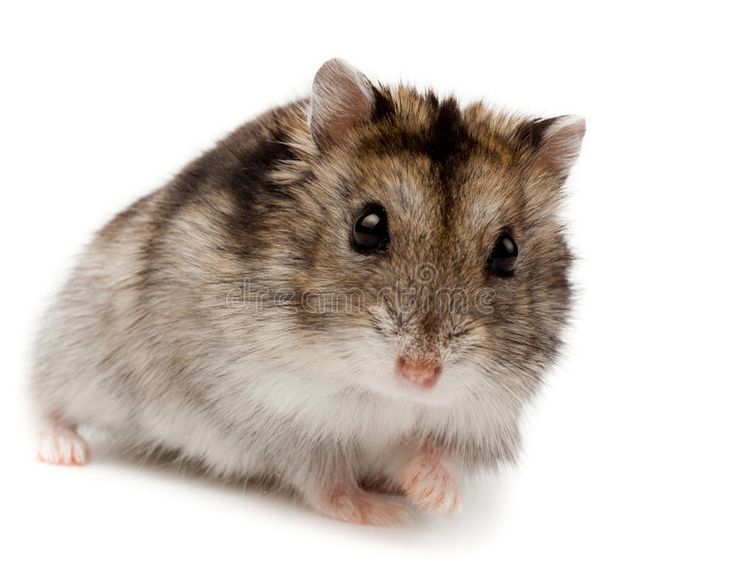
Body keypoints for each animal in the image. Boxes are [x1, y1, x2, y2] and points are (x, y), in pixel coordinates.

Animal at [31, 59, 585, 525]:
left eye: (508, 252)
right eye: (367, 227)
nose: (420, 374)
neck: (379, 393)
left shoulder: (479, 415)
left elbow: (440, 453)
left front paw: (432, 496)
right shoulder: (278, 414)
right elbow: (327, 478)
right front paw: (388, 515)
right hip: (81, 346)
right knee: (46, 399)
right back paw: (61, 451)